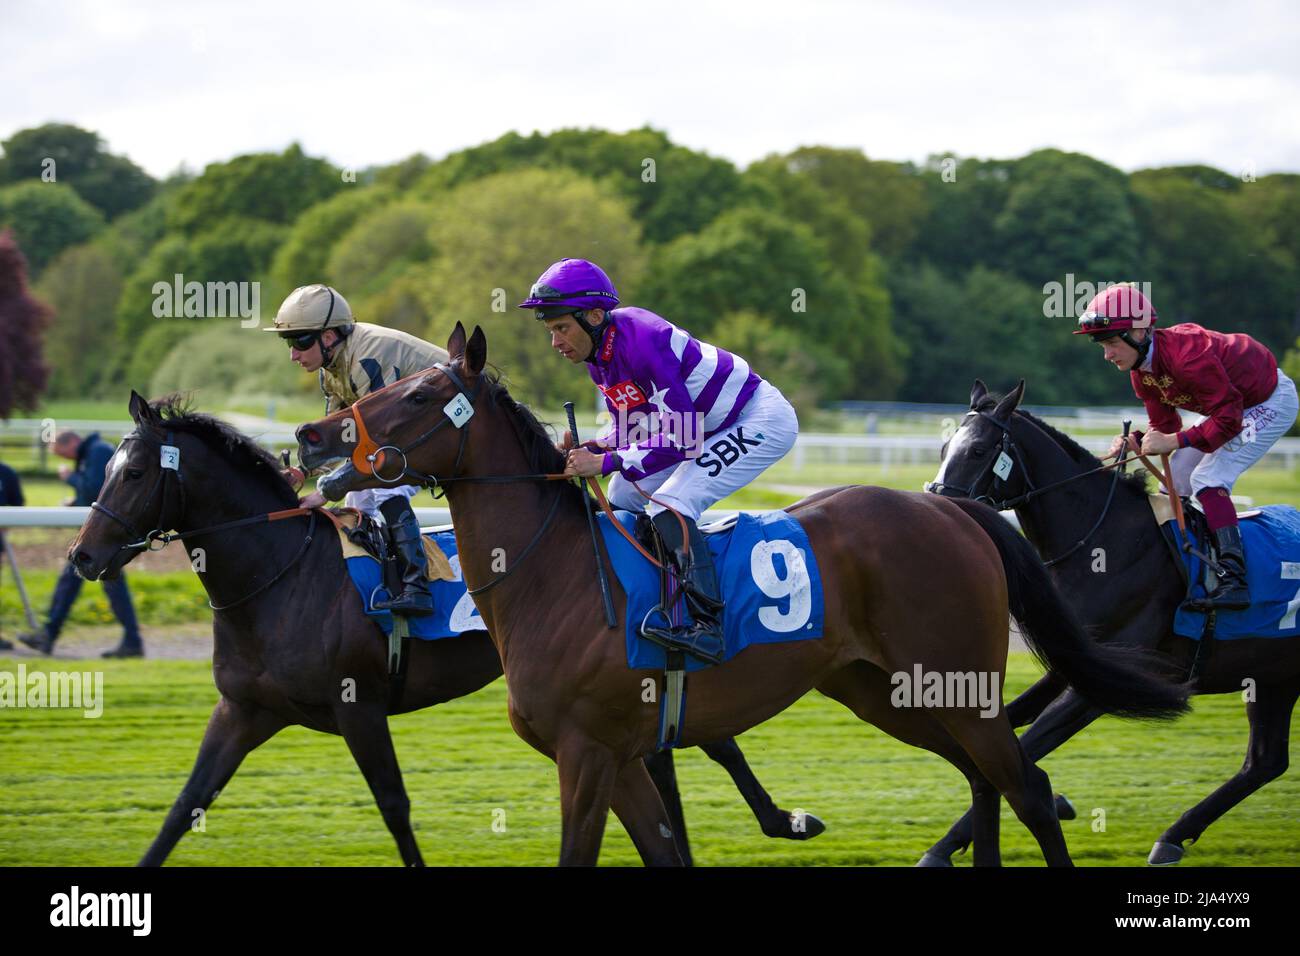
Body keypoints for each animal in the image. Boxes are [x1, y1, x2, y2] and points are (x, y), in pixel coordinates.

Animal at [295, 323, 1190, 868]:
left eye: (415, 395)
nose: (313, 435)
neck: (553, 576)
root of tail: (950, 508)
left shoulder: (586, 754)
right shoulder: (621, 756)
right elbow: (663, 848)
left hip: (957, 686)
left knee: (1028, 790)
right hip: (892, 693)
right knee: (985, 782)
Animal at [925, 382, 1300, 868]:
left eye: (977, 449)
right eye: (943, 448)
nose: (939, 509)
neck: (1103, 545)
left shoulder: (1101, 685)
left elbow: (1020, 751)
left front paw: (944, 846)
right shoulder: (1071, 663)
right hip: (1273, 676)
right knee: (1264, 761)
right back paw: (1174, 836)